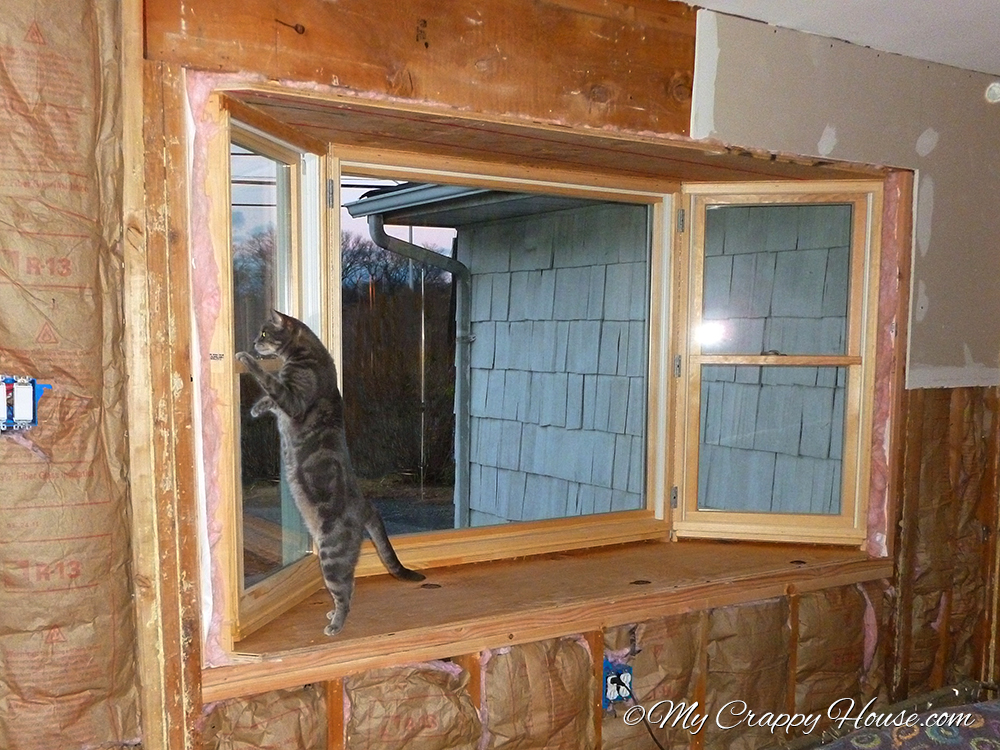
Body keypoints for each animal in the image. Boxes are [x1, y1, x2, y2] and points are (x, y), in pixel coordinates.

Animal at [236, 308, 424, 636]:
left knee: (346, 592)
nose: (253, 341)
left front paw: (247, 359)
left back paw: (335, 625)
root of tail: (366, 505)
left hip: (332, 555)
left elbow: (269, 380)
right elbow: (270, 397)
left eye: (263, 333)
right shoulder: (285, 398)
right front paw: (258, 407)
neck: (307, 354)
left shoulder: (293, 399)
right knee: (350, 588)